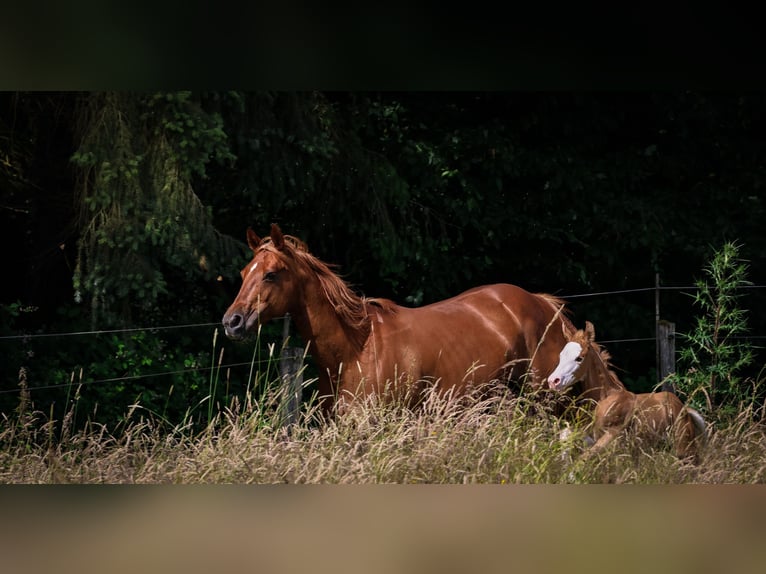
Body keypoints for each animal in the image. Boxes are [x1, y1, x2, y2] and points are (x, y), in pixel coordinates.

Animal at [547, 321, 707, 462]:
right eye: (561, 356)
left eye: (579, 358)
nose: (553, 381)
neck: (604, 399)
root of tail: (685, 410)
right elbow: (567, 439)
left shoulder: (612, 437)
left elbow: (584, 457)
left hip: (684, 449)